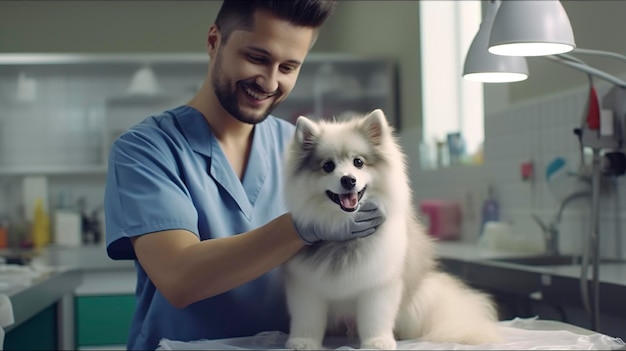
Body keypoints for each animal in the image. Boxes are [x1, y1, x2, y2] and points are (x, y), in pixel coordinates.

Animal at [282, 109, 498, 350]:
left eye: (358, 162)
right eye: (328, 166)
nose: (348, 180)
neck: (343, 232)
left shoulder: (379, 284)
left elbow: (375, 318)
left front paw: (377, 342)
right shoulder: (306, 286)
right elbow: (307, 319)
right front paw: (302, 341)